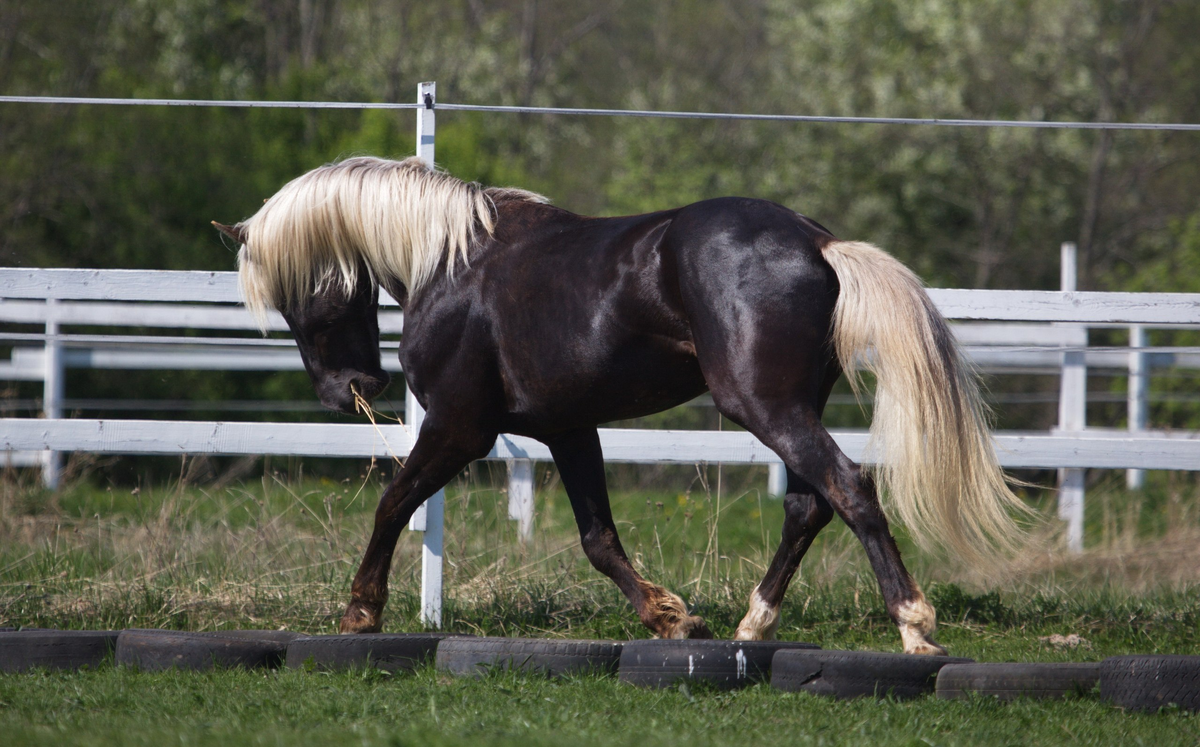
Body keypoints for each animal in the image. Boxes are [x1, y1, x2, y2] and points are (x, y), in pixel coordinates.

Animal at [213, 154, 1022, 653]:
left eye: (292, 296)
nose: (345, 391)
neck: (450, 262)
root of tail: (816, 243)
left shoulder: (459, 426)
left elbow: (393, 502)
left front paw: (360, 610)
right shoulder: (568, 428)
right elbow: (599, 539)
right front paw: (672, 618)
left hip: (764, 406)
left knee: (849, 488)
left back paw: (913, 624)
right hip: (790, 407)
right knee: (808, 505)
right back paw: (751, 626)